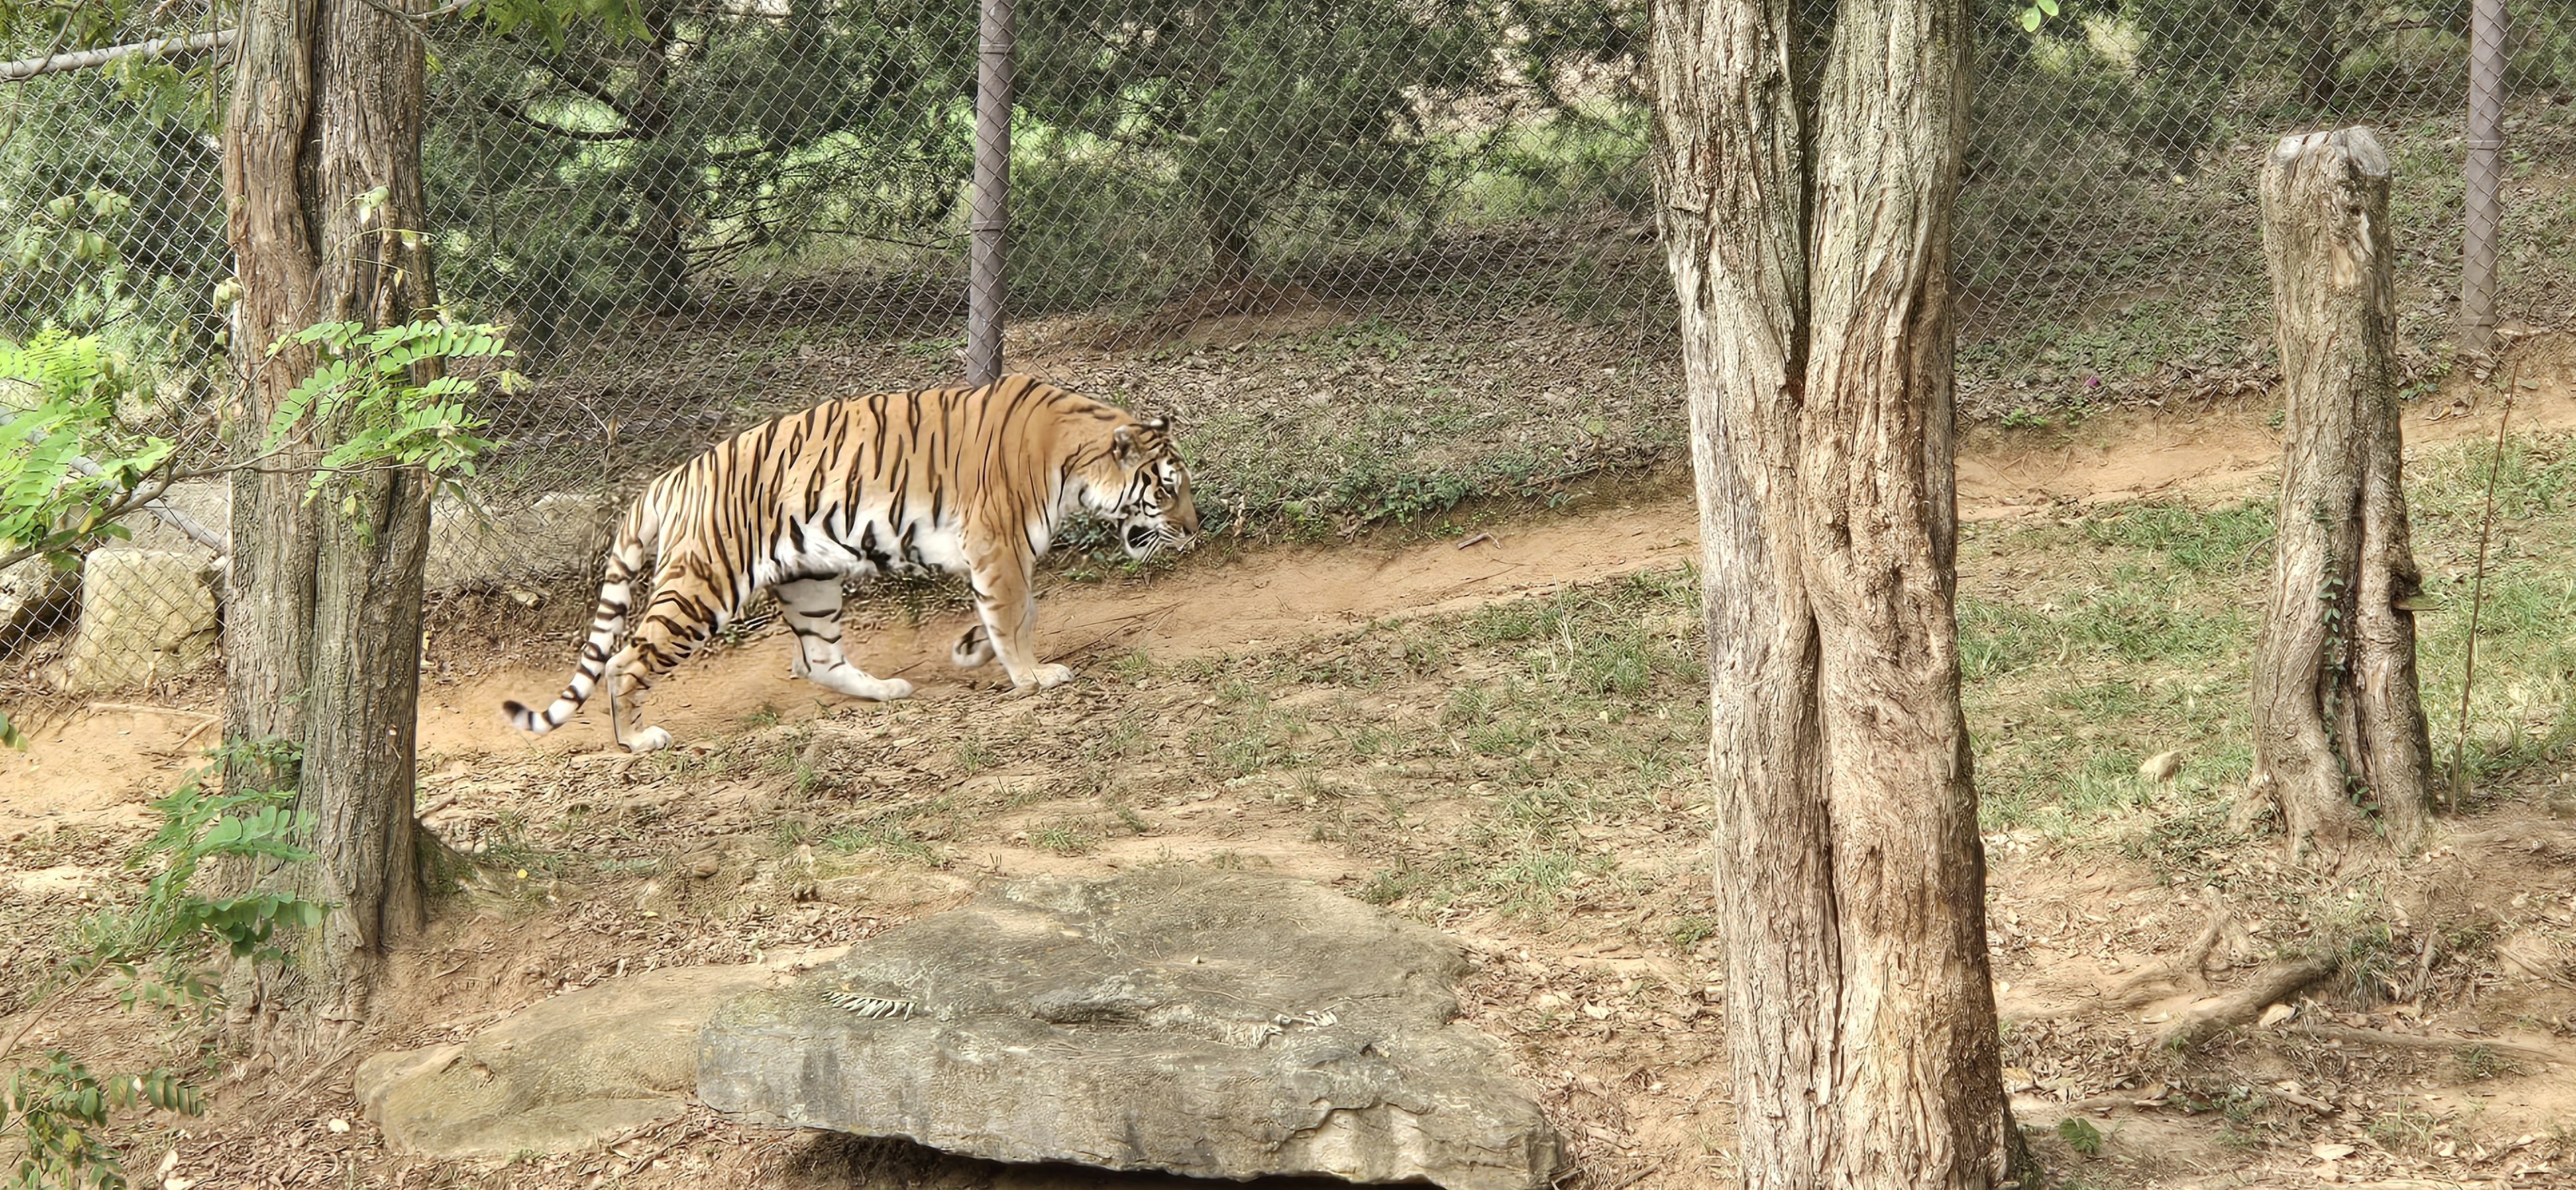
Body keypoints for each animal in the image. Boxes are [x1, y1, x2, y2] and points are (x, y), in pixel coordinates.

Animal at [502, 375, 1201, 752]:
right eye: (1167, 489)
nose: (1195, 531)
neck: (1071, 458)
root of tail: (669, 479)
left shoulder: (999, 554)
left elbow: (1021, 608)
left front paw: (972, 649)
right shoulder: (999, 546)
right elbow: (1016, 612)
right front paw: (1031, 676)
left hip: (810, 580)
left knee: (817, 660)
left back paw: (886, 690)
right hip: (705, 585)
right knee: (625, 659)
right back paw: (637, 740)